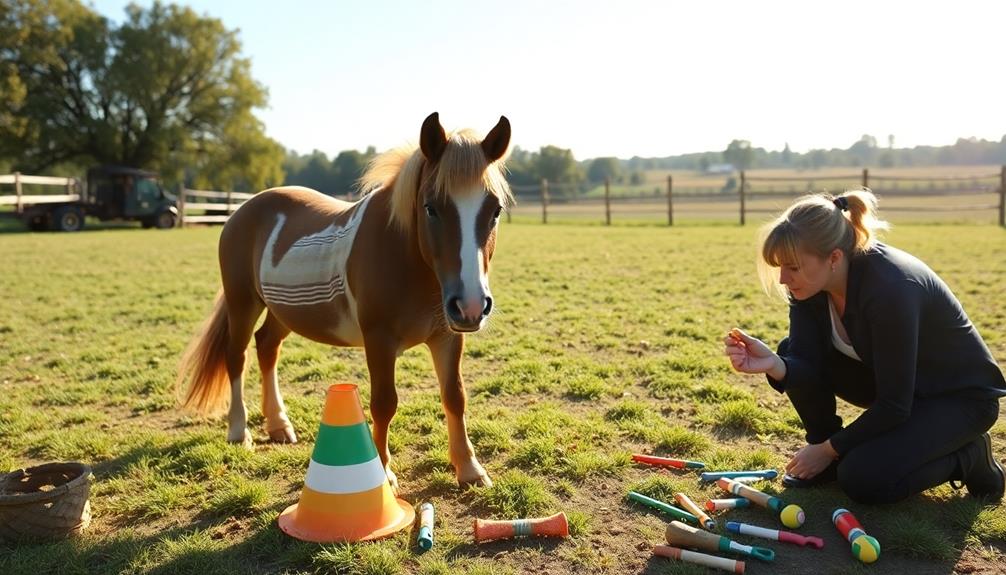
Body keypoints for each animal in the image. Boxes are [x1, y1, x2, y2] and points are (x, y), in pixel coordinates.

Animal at [177, 113, 511, 490]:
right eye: (431, 208)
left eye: (495, 210)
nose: (471, 305)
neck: (405, 258)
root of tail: (240, 211)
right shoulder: (379, 340)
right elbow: (384, 403)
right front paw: (384, 475)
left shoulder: (448, 336)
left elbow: (455, 396)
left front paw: (469, 469)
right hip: (242, 302)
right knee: (237, 356)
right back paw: (239, 431)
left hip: (284, 311)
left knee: (267, 347)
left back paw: (279, 425)